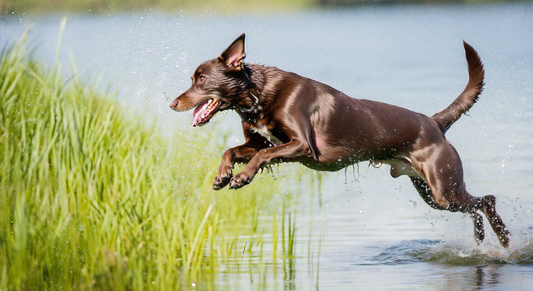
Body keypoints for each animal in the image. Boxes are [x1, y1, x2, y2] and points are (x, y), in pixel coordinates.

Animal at [168, 34, 510, 249]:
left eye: (200, 80)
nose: (172, 104)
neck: (257, 94)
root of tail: (434, 122)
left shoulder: (301, 146)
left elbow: (259, 158)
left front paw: (241, 177)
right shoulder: (263, 142)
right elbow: (234, 150)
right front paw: (222, 175)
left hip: (443, 187)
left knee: (486, 200)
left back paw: (503, 239)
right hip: (429, 191)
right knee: (476, 206)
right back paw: (484, 238)